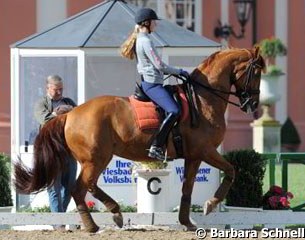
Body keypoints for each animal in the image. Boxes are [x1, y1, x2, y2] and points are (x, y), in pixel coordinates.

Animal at [13, 46, 264, 232]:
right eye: (257, 71)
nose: (252, 104)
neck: (203, 100)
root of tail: (69, 114)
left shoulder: (194, 156)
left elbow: (188, 188)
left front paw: (187, 222)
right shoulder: (205, 150)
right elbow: (231, 170)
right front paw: (211, 204)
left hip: (95, 159)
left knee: (87, 187)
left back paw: (108, 216)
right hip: (96, 159)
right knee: (80, 188)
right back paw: (101, 221)